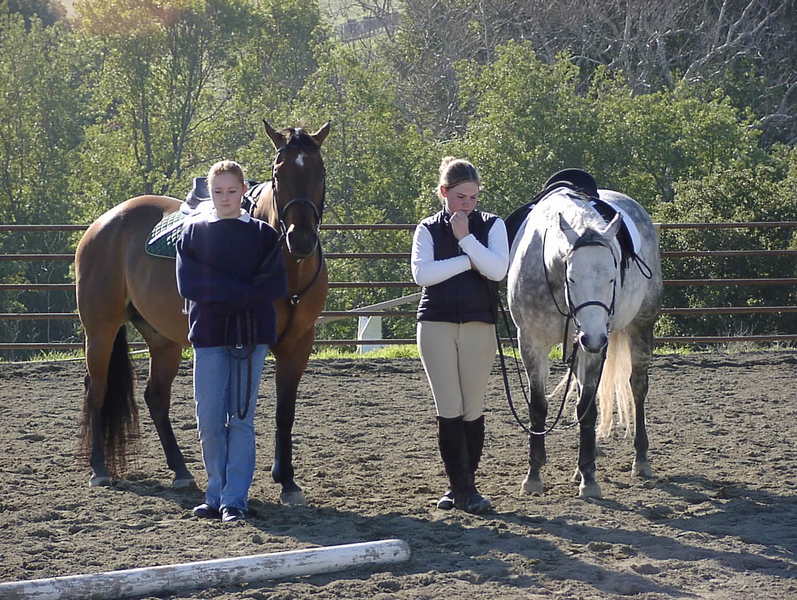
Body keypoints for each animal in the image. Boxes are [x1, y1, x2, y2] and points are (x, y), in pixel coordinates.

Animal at [75, 121, 330, 505]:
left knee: (155, 397)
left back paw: (180, 471)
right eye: (278, 173)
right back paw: (99, 469)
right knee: (97, 390)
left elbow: (285, 412)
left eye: (320, 172)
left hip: (161, 339)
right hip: (100, 330)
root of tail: (104, 223)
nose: (300, 239)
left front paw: (287, 481)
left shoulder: (298, 343)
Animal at [506, 175, 662, 498]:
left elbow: (586, 410)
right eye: (572, 277)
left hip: (641, 325)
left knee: (637, 387)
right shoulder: (531, 342)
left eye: (613, 277)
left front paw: (589, 478)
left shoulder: (593, 350)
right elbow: (538, 407)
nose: (594, 338)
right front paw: (534, 475)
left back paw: (640, 460)